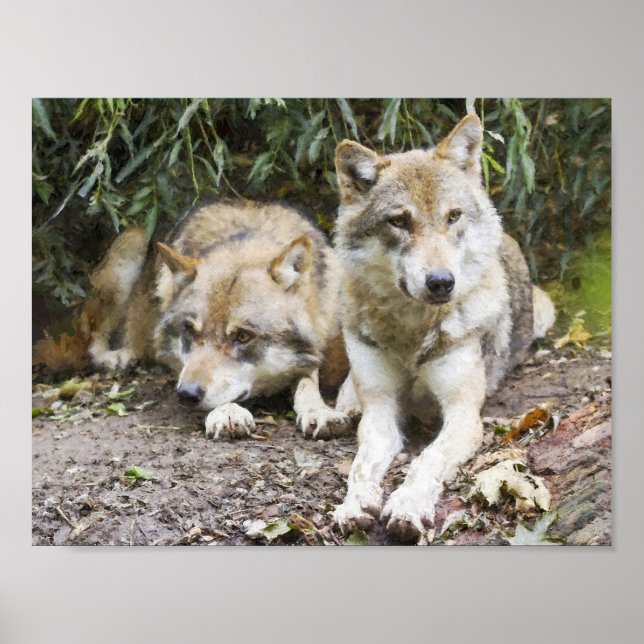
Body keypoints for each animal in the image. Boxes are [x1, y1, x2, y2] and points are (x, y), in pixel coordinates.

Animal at [82, 200, 351, 440]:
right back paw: (118, 356)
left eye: (243, 336)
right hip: (131, 243)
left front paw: (319, 411)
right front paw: (227, 413)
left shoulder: (318, 345)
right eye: (189, 330)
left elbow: (308, 381)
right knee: (93, 335)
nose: (186, 394)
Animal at [331, 114, 556, 543]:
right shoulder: (382, 409)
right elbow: (361, 463)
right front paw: (354, 504)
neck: (411, 332)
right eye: (399, 221)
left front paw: (407, 506)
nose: (441, 282)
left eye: (453, 216)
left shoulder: (463, 414)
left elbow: (427, 459)